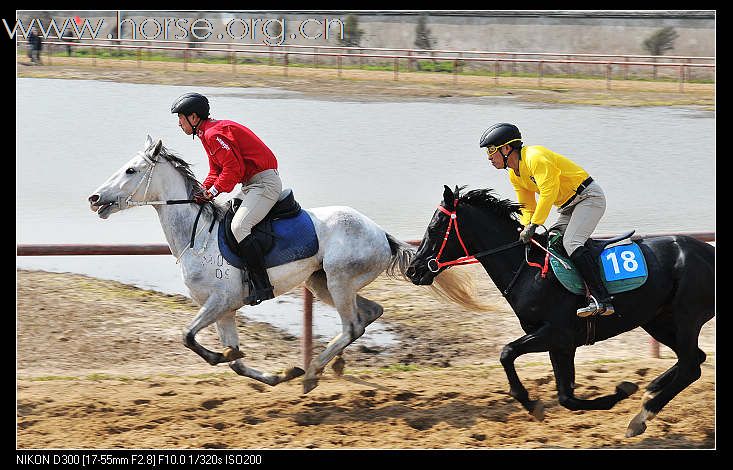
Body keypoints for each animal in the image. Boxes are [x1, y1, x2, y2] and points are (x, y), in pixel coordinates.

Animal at [88, 137, 480, 392]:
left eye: (130, 170)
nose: (94, 198)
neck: (196, 236)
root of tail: (381, 233)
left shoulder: (219, 302)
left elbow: (189, 337)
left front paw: (231, 358)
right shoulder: (224, 310)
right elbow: (236, 361)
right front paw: (276, 374)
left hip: (338, 281)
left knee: (354, 324)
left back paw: (313, 372)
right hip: (321, 283)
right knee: (370, 313)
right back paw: (328, 365)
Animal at [404, 186, 712, 436]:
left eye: (434, 229)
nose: (414, 270)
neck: (527, 271)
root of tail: (709, 254)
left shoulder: (556, 333)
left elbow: (507, 352)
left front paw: (530, 402)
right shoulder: (561, 344)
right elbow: (566, 397)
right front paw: (622, 390)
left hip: (685, 318)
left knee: (690, 367)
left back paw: (640, 419)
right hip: (657, 320)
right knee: (694, 358)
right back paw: (651, 388)